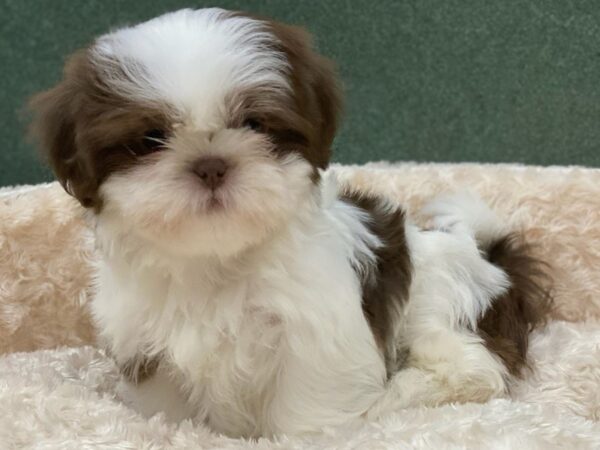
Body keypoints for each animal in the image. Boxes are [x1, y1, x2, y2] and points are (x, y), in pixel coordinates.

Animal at [30, 6, 552, 436]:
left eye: (255, 124)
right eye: (150, 138)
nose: (211, 164)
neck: (216, 261)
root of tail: (488, 254)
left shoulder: (316, 338)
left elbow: (307, 407)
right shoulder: (146, 343)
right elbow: (168, 410)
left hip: (439, 300)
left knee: (472, 368)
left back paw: (399, 394)